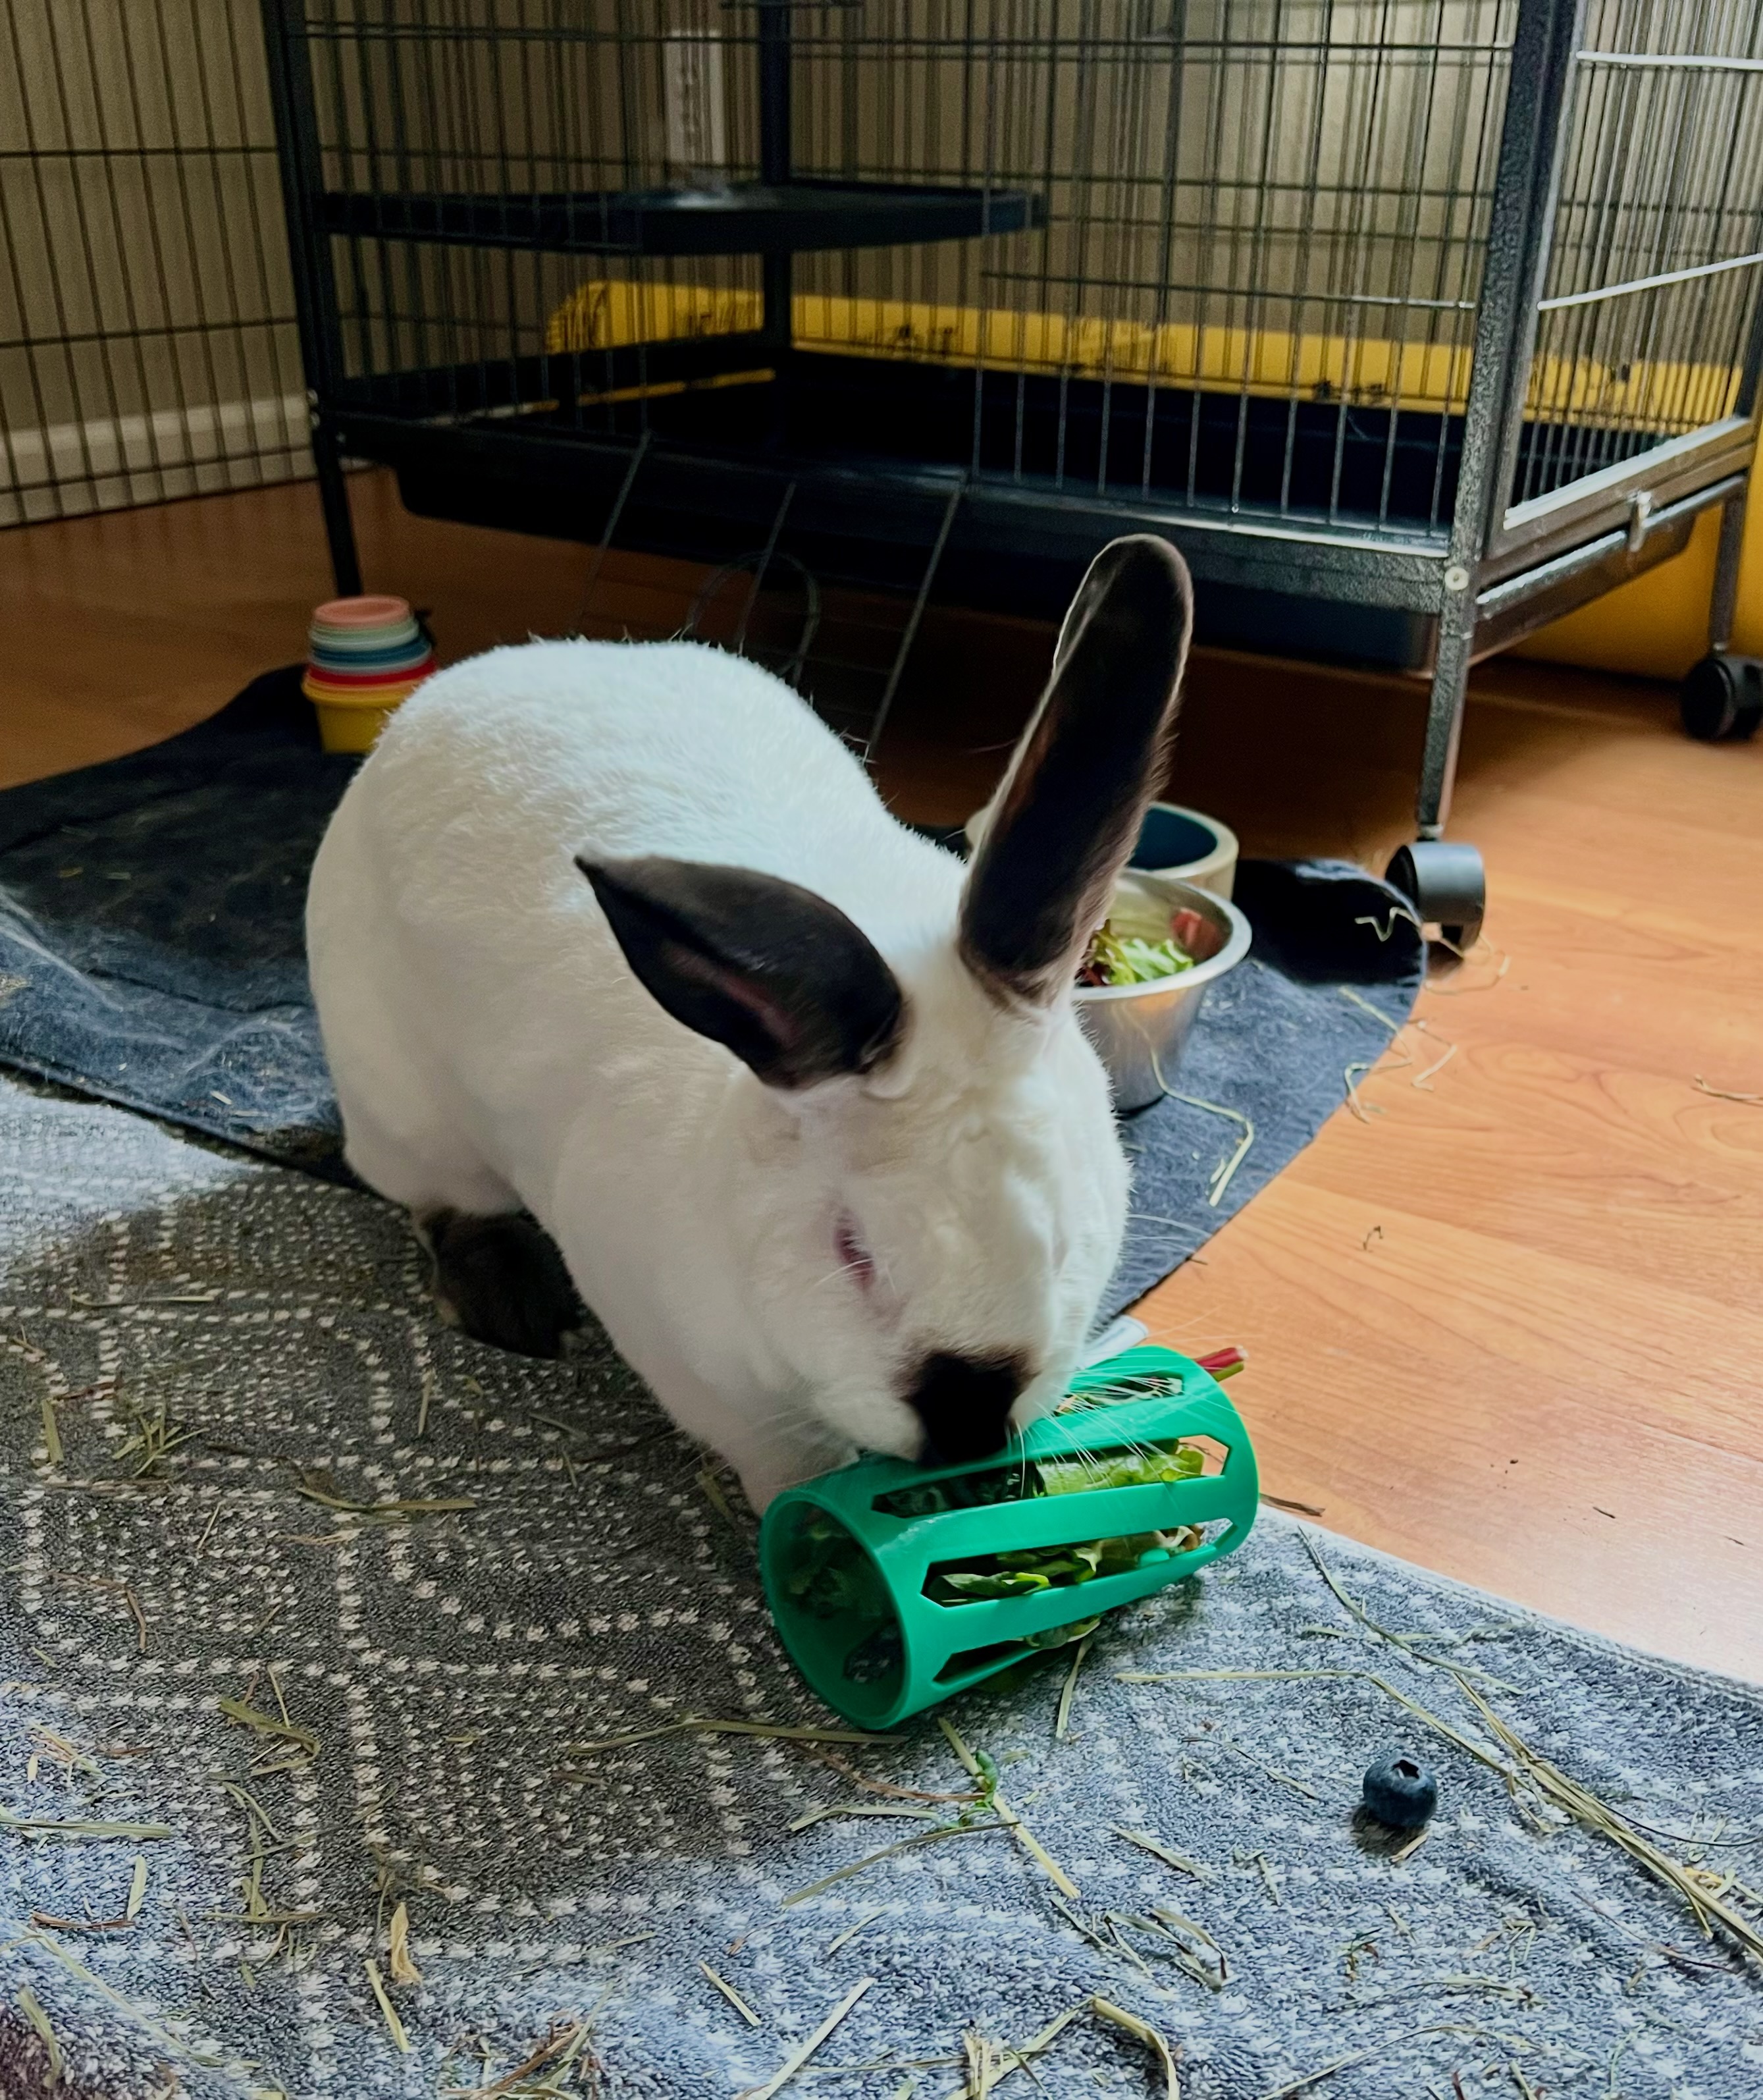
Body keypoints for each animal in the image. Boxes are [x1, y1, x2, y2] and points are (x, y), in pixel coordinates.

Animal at [306, 533, 1193, 1509]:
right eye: (853, 1250)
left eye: (1065, 1237)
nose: (966, 1417)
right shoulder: (700, 1374)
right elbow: (787, 1464)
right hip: (402, 1106)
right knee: (436, 1199)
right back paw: (516, 1304)